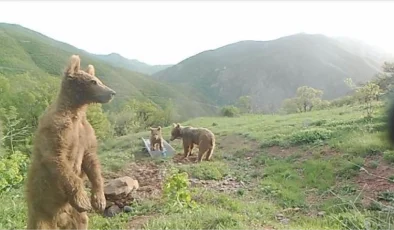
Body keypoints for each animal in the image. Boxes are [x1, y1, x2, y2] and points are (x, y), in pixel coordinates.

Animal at [25, 54, 115, 229]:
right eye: (93, 82)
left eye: (98, 79)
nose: (111, 92)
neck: (75, 112)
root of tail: (60, 220)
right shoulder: (56, 128)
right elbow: (58, 158)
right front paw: (83, 200)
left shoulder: (85, 133)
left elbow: (92, 160)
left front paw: (99, 200)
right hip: (40, 212)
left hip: (75, 216)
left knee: (82, 221)